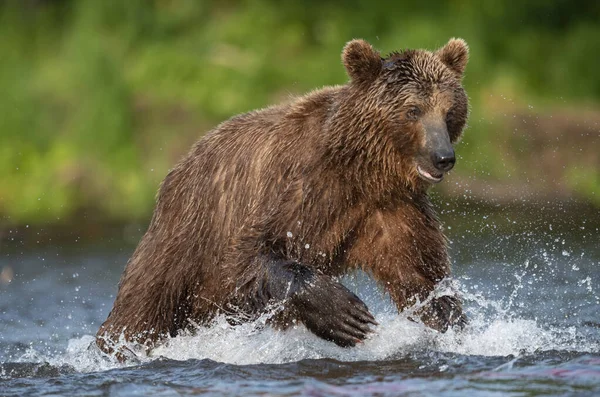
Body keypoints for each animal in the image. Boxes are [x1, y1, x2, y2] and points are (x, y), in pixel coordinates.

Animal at [97, 38, 468, 358]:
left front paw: (448, 317)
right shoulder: (295, 187)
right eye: (413, 110)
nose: (443, 157)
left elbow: (420, 274)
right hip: (186, 235)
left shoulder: (391, 209)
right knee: (144, 304)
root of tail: (179, 165)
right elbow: (248, 256)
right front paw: (344, 313)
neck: (361, 169)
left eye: (449, 110)